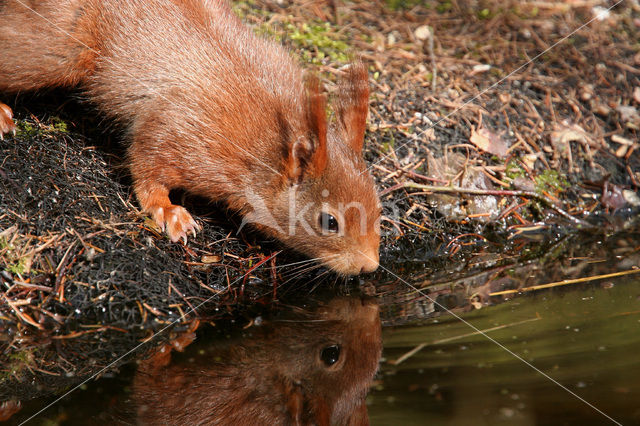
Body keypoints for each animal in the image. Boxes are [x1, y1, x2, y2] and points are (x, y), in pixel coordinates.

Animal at [0, 0, 380, 274]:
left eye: (377, 206)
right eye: (329, 222)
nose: (369, 267)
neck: (266, 144)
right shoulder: (182, 129)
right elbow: (147, 162)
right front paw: (169, 212)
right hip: (57, 50)